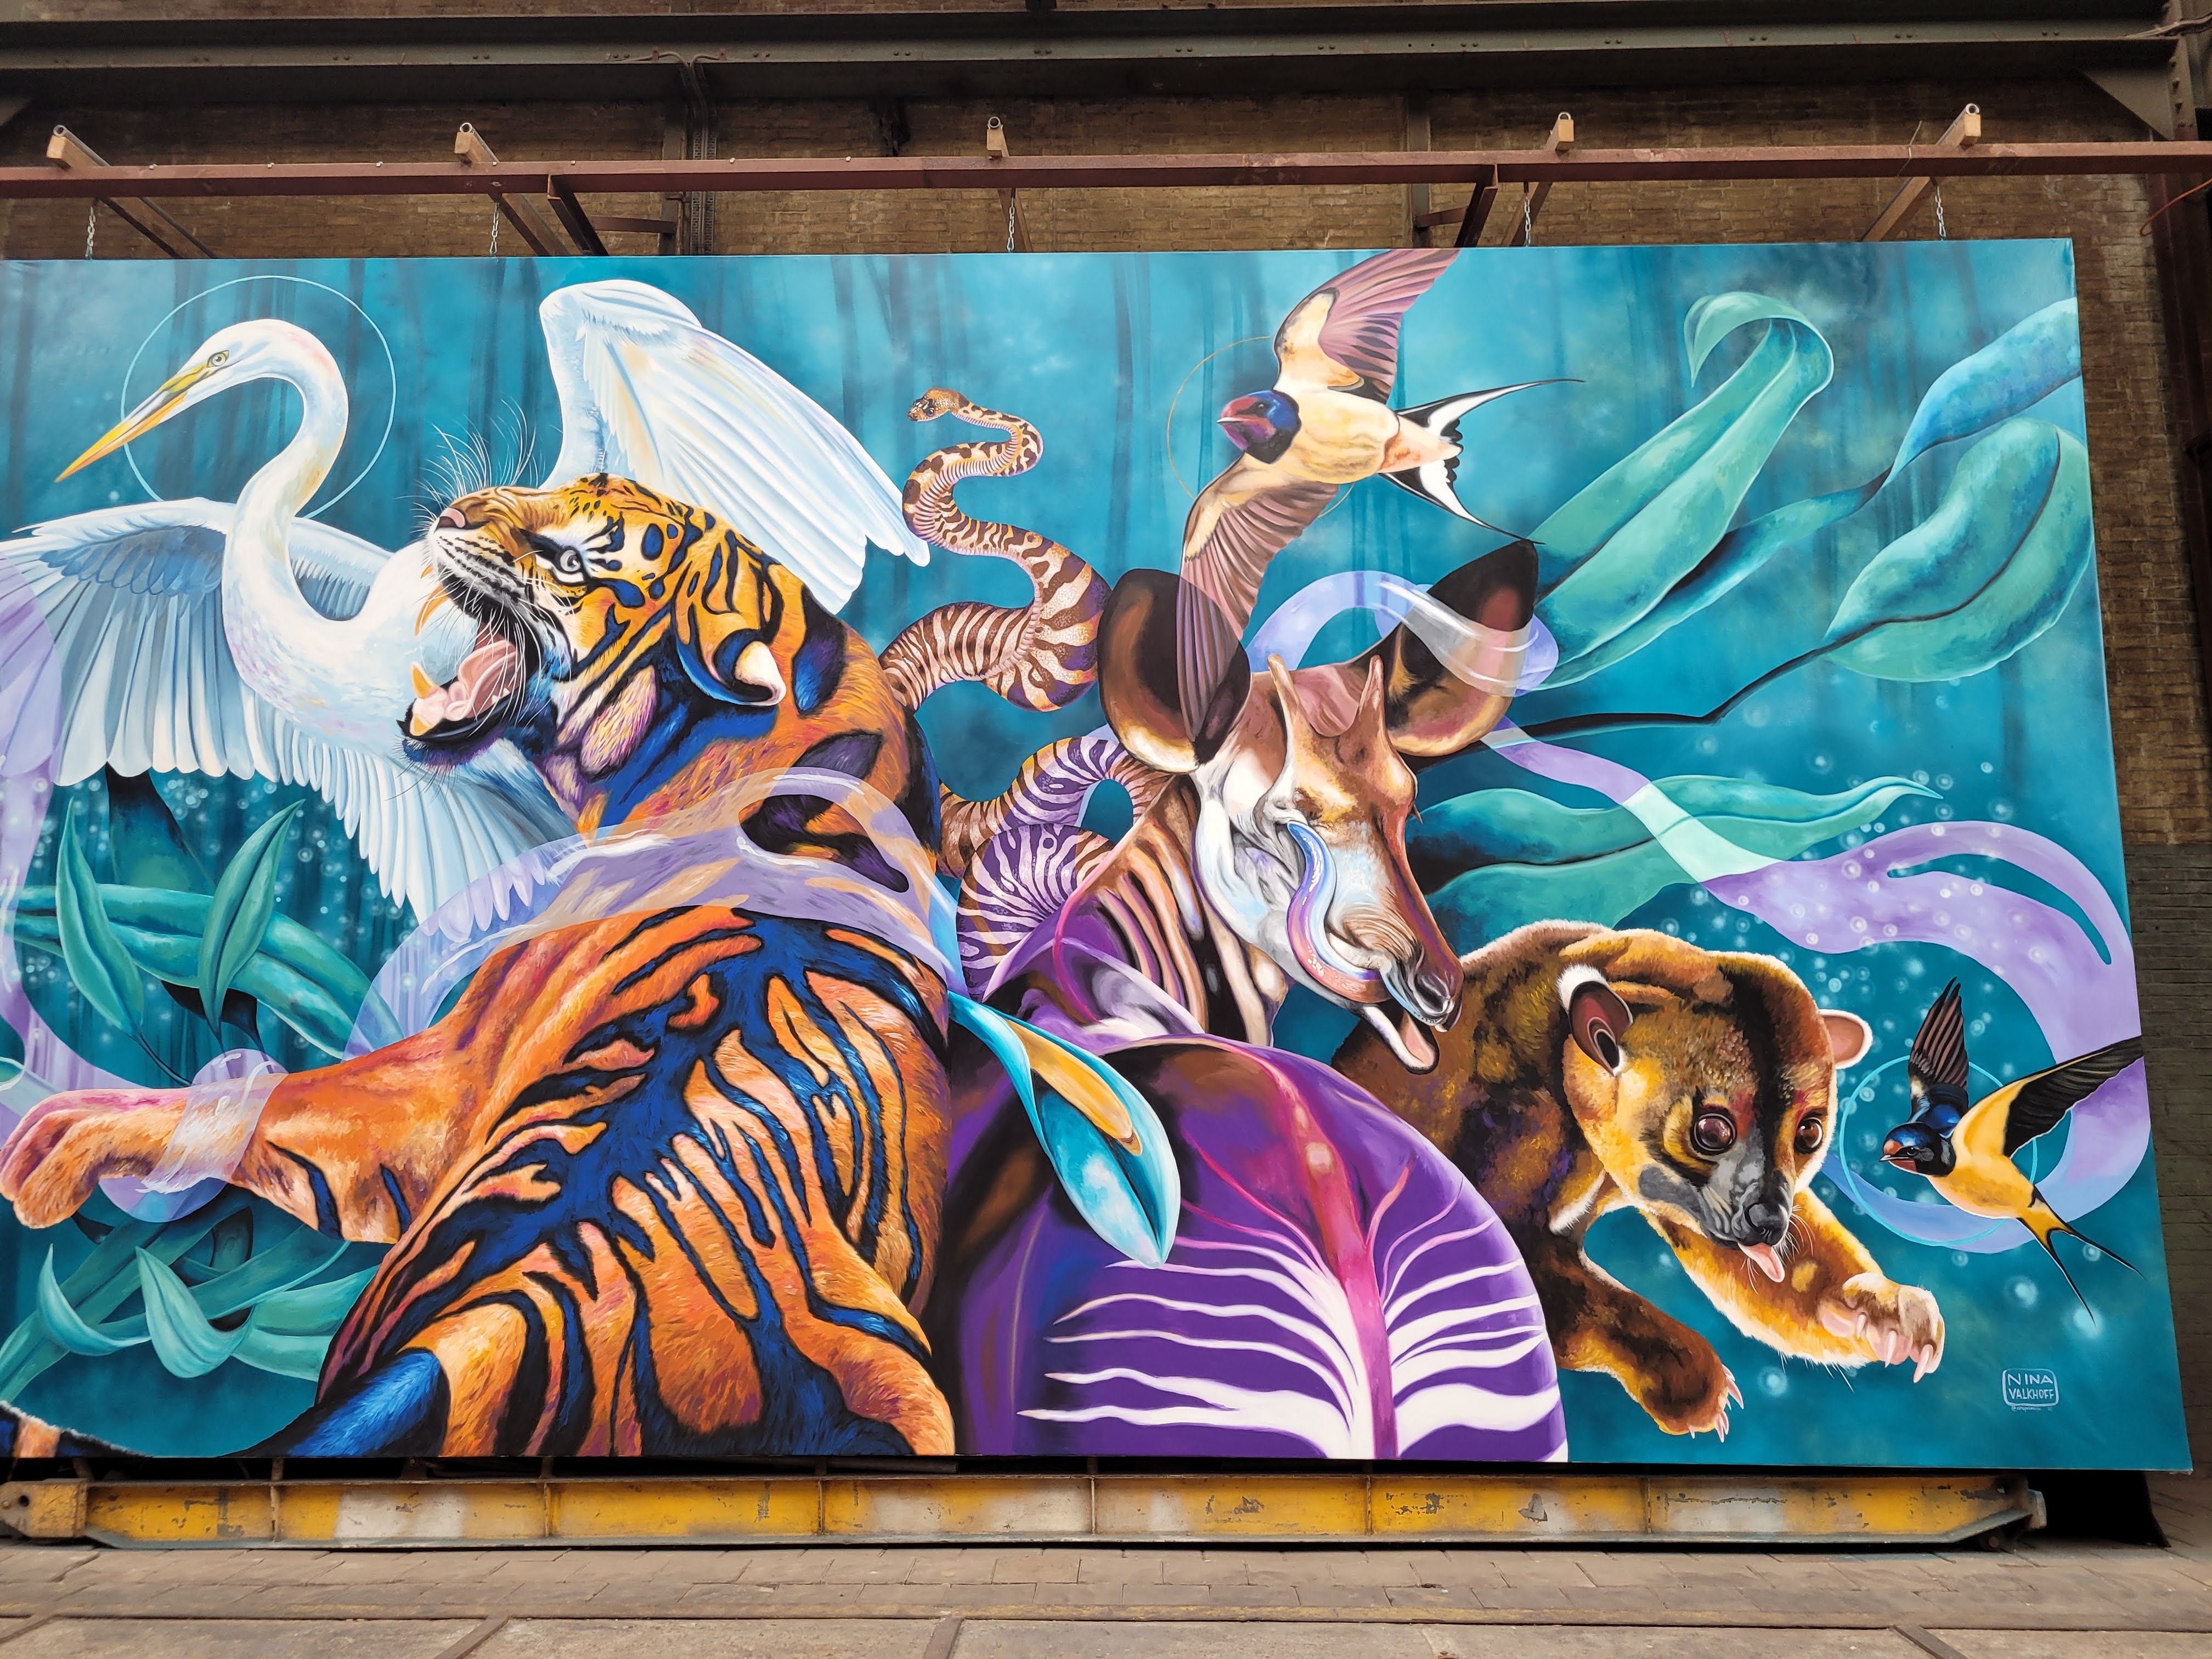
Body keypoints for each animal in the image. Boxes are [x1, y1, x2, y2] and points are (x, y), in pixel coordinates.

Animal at [0, 475, 962, 1457]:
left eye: (572, 559)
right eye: (561, 489)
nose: (451, 516)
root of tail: (497, 1312)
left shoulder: (446, 1075)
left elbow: (281, 1094)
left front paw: (60, 1138)